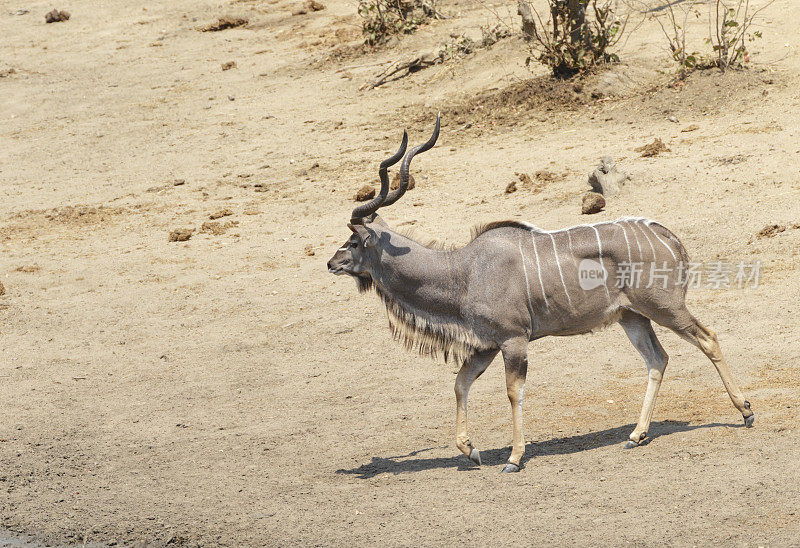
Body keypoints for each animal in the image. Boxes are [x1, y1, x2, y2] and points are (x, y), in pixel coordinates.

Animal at [328, 117, 752, 474]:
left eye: (354, 240)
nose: (332, 263)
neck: (463, 271)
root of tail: (667, 236)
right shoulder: (487, 344)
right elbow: (460, 383)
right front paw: (471, 451)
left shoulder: (514, 340)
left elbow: (513, 392)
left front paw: (514, 458)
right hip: (632, 317)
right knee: (657, 359)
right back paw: (636, 435)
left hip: (665, 308)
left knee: (707, 338)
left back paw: (745, 411)